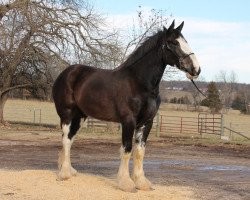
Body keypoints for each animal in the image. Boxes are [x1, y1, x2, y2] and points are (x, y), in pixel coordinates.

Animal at [52, 20, 201, 192]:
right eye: (174, 43)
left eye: (185, 41)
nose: (196, 69)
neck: (139, 83)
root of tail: (66, 73)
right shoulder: (128, 121)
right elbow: (127, 149)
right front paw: (126, 183)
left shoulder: (147, 122)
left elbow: (140, 151)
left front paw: (141, 182)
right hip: (67, 114)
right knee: (66, 140)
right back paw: (64, 174)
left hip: (80, 116)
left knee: (70, 139)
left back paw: (68, 170)